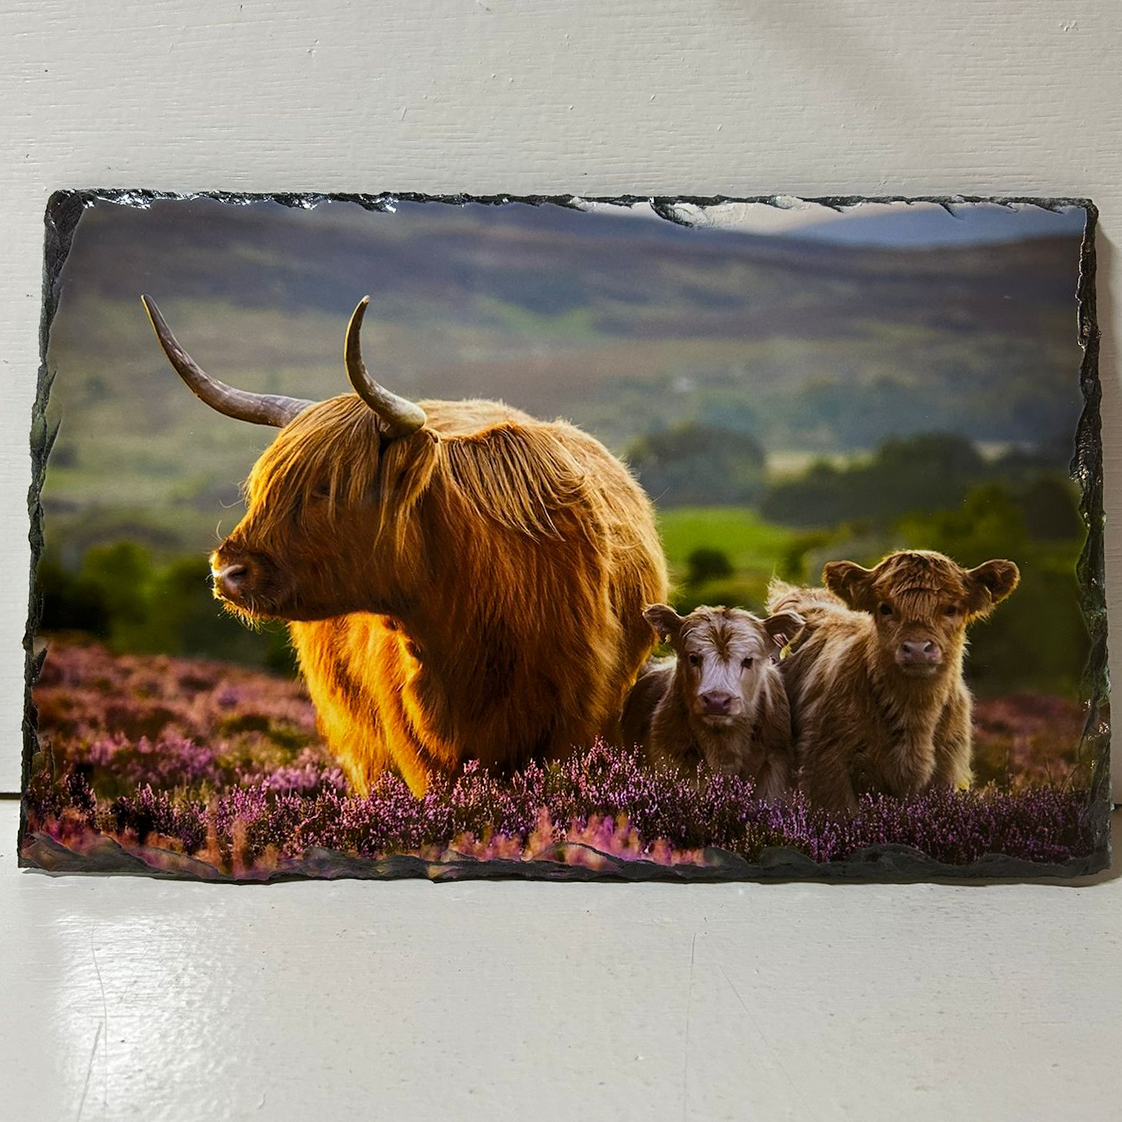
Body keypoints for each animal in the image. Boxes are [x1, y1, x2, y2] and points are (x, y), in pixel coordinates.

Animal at [766, 550, 1020, 812]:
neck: (914, 716)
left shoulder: (947, 770)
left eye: (951, 609)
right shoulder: (827, 768)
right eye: (885, 608)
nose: (917, 649)